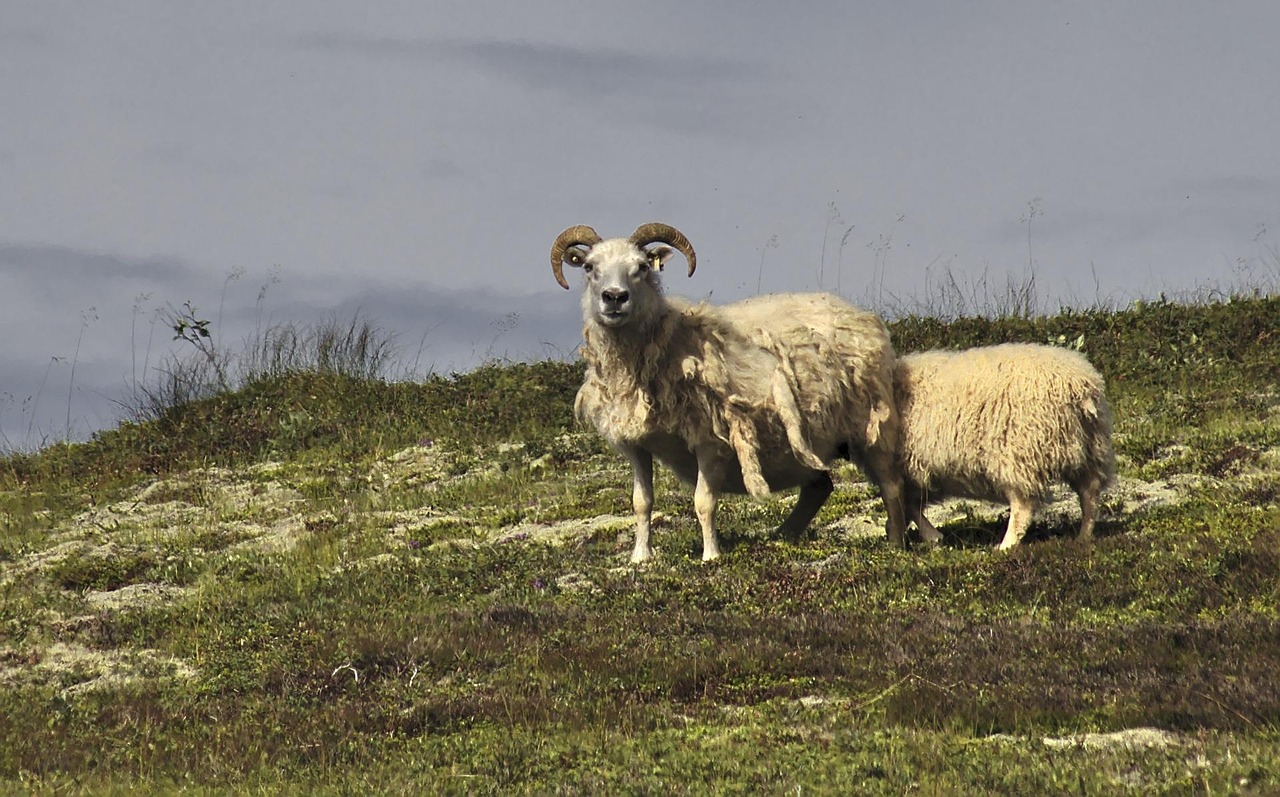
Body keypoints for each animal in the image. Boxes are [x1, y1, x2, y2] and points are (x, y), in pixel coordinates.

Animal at [550, 222, 908, 562]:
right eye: (589, 267)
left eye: (641, 266)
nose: (614, 297)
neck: (668, 343)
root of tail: (860, 314)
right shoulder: (636, 444)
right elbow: (641, 502)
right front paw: (640, 556)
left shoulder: (710, 440)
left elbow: (703, 502)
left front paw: (711, 555)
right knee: (820, 487)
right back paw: (782, 536)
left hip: (871, 427)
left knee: (890, 486)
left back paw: (895, 543)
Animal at [892, 342, 1116, 549]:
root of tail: (1080, 387)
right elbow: (909, 506)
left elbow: (907, 506)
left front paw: (928, 536)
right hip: (1089, 448)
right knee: (1089, 493)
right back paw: (1084, 536)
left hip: (1019, 453)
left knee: (1023, 506)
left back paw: (1006, 546)